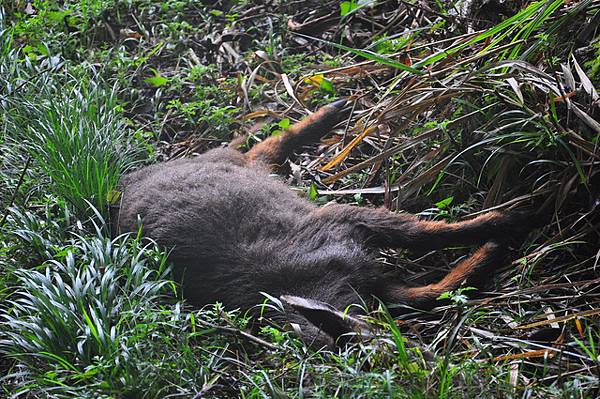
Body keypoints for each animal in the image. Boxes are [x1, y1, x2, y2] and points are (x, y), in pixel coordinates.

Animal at [113, 99, 544, 346]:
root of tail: (131, 179)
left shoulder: (346, 218)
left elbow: (423, 234)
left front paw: (509, 220)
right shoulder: (378, 282)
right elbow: (434, 289)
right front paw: (496, 242)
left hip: (237, 163)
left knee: (264, 143)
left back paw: (328, 112)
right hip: (243, 167)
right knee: (263, 147)